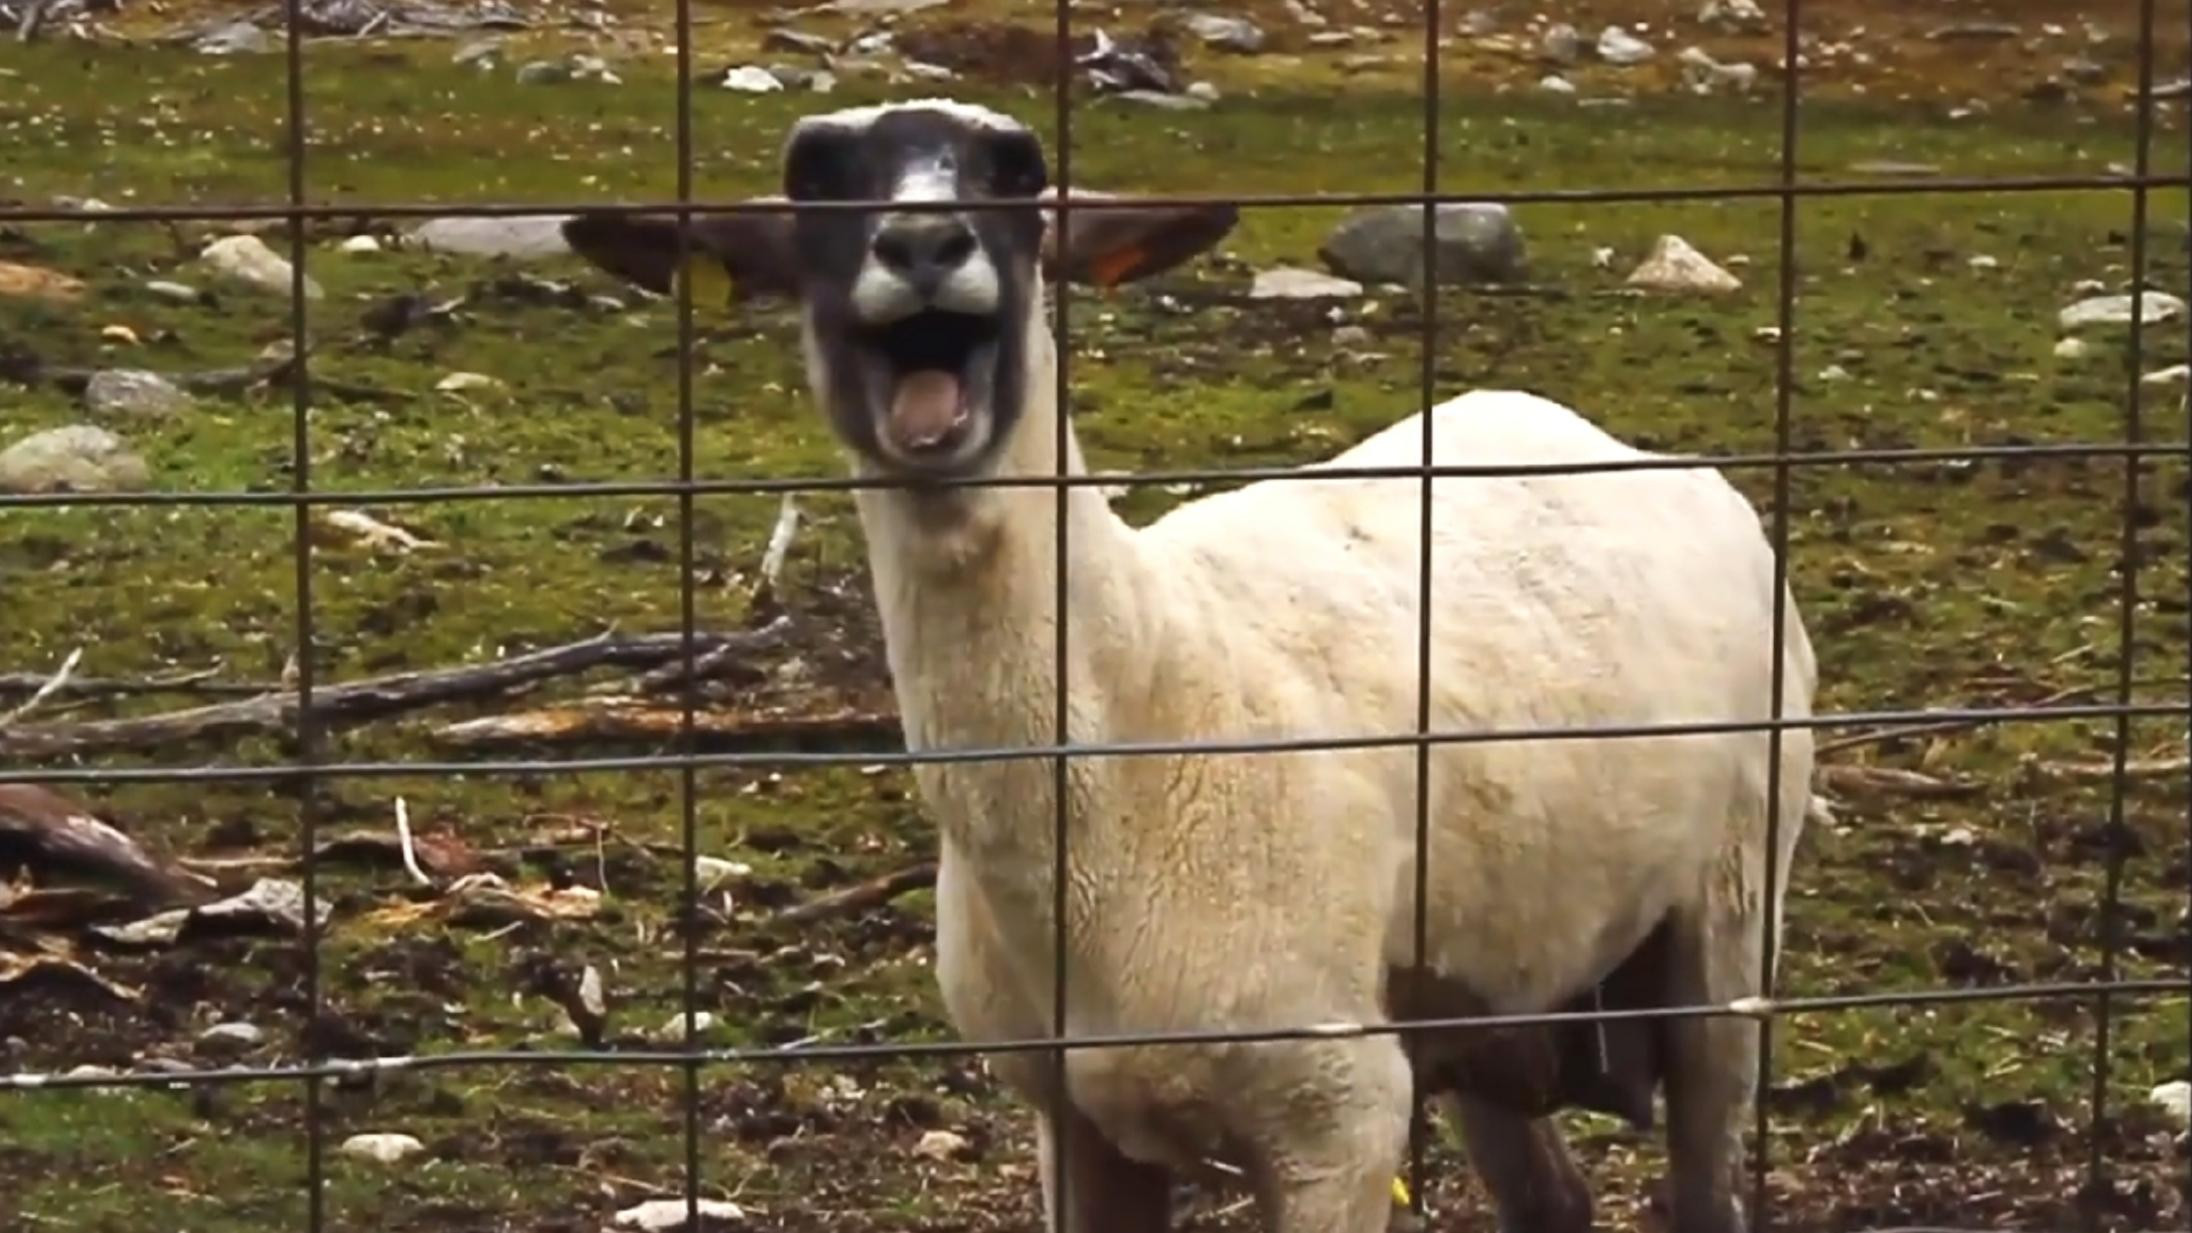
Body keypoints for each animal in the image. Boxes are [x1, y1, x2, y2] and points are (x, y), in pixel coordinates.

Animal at [560, 98, 1818, 1233]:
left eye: (1017, 171)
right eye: (815, 178)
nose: (921, 246)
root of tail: (1607, 440)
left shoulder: (1338, 1114)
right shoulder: (1072, 1121)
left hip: (1727, 916)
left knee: (1707, 1169)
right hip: (1499, 979)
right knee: (1549, 1199)